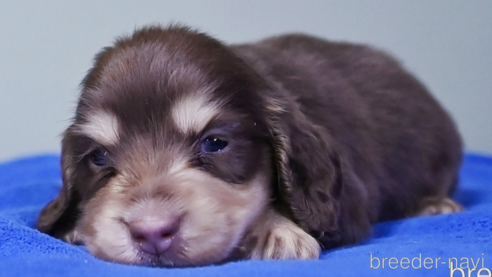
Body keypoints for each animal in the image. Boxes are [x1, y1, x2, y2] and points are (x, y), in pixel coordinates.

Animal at [36, 24, 464, 266]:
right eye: (99, 157)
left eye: (215, 144)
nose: (152, 233)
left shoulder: (350, 204)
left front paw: (277, 231)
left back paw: (434, 204)